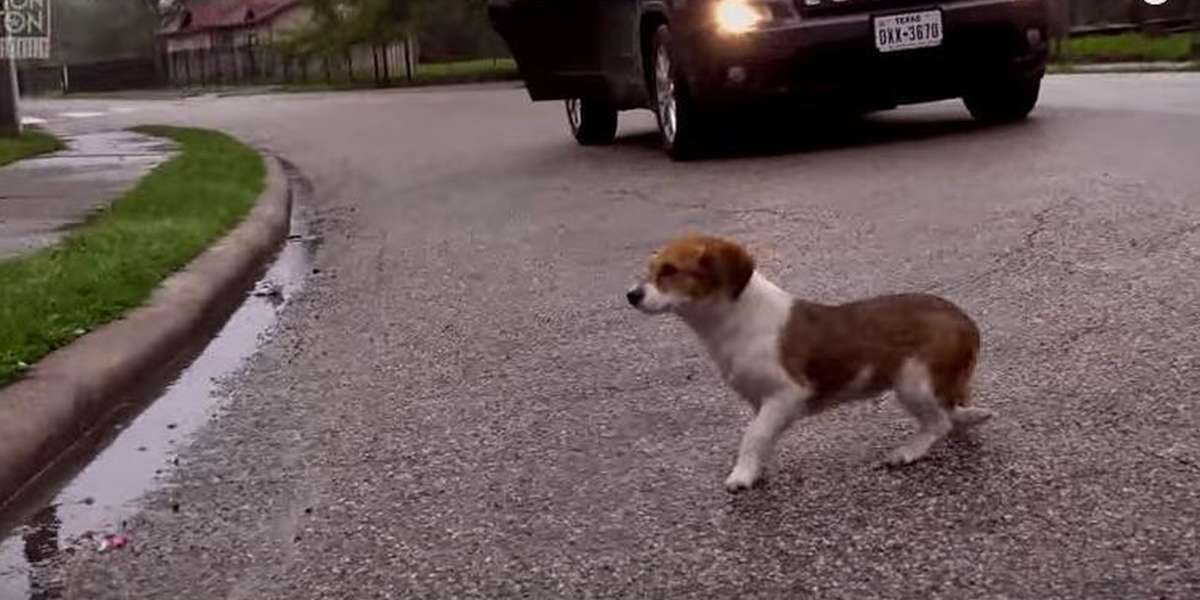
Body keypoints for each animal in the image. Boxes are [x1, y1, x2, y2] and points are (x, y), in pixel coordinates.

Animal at [624, 234, 988, 492]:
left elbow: (753, 436)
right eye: (651, 269)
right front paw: (756, 469)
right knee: (950, 415)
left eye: (670, 271)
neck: (737, 321)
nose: (631, 295)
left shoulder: (786, 394)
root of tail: (966, 322)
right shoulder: (762, 402)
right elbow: (763, 437)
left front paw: (742, 475)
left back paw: (907, 452)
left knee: (938, 423)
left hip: (913, 381)